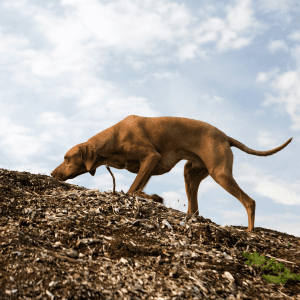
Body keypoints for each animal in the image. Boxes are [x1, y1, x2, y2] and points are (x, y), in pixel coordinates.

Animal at [50, 115, 292, 232]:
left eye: (67, 158)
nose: (52, 174)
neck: (114, 138)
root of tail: (226, 137)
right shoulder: (148, 165)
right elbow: (137, 189)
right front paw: (153, 197)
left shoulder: (150, 157)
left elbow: (132, 189)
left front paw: (152, 197)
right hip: (190, 173)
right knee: (194, 209)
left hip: (220, 173)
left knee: (249, 201)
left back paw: (249, 231)